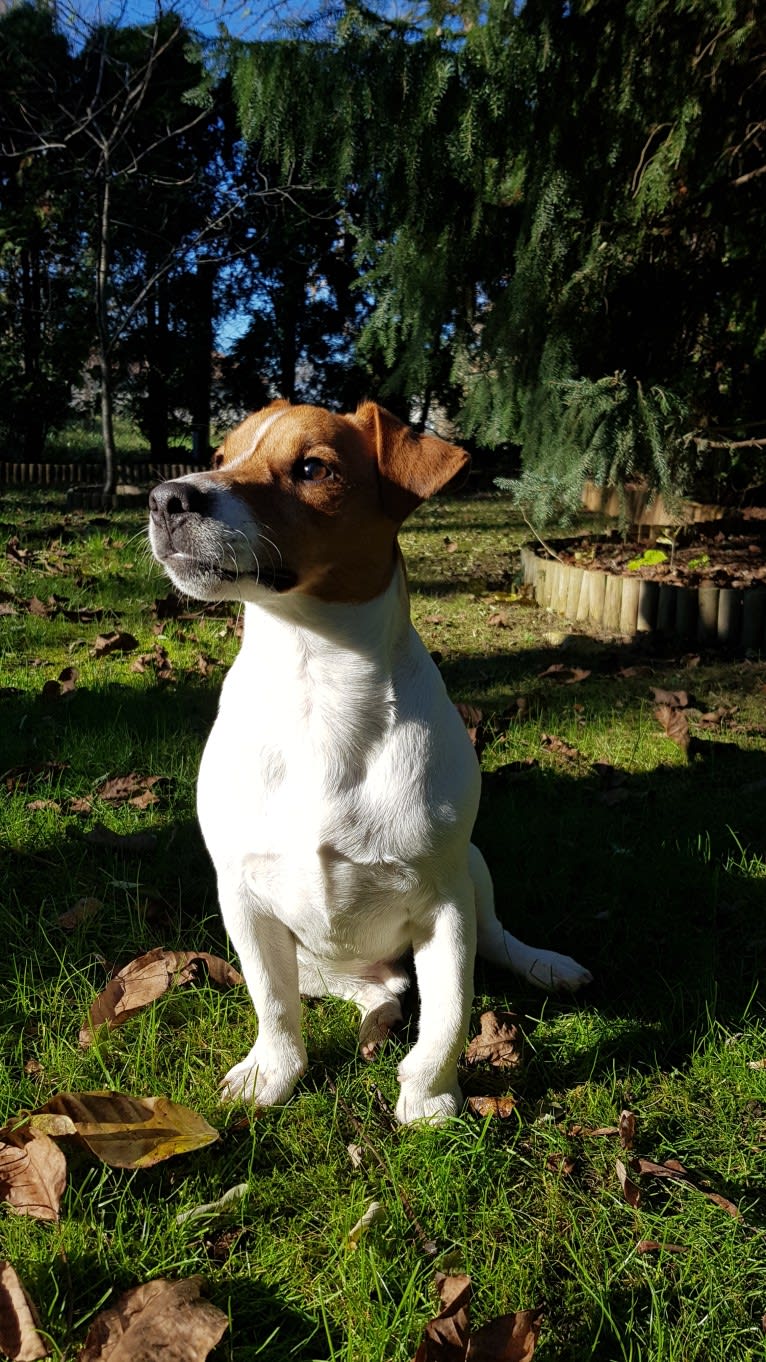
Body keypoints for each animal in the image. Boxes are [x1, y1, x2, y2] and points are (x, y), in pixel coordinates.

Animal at [149, 397, 591, 1122]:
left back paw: (544, 964)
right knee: (366, 991)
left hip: (473, 865)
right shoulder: (243, 897)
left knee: (495, 939)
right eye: (222, 455)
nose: (166, 498)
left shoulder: (444, 906)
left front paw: (430, 1097)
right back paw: (375, 1008)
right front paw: (273, 1072)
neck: (317, 682)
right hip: (318, 959)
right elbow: (274, 1005)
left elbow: (449, 1012)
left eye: (312, 468)